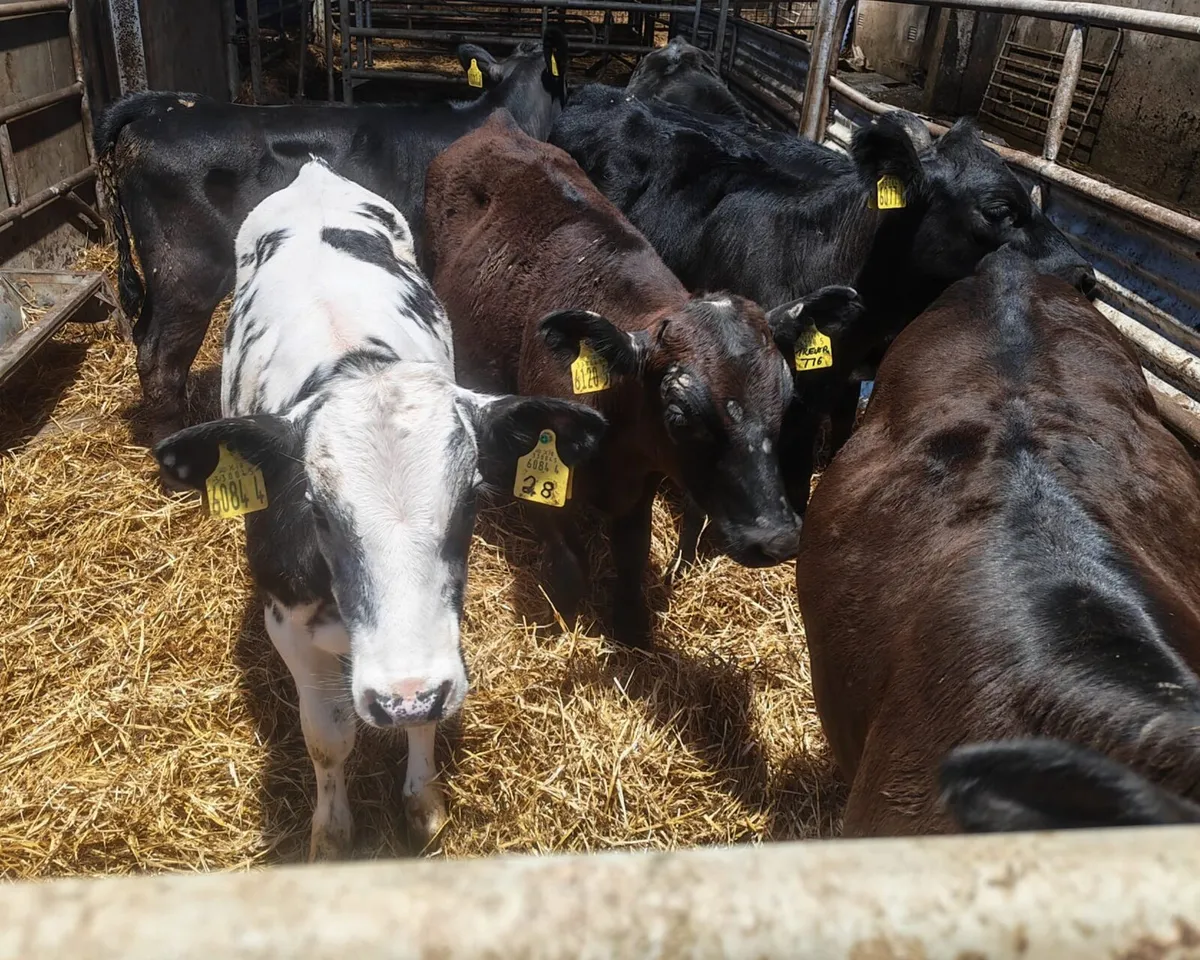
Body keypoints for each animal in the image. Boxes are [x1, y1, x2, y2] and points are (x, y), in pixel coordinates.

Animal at [152, 160, 606, 859]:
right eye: (316, 511)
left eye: (471, 499)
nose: (404, 696)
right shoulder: (287, 624)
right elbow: (328, 738)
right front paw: (331, 832)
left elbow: (427, 724)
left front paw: (423, 799)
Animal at [425, 113, 860, 647]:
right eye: (679, 415)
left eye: (784, 398)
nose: (775, 537)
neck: (615, 439)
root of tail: (498, 124)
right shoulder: (543, 479)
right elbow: (569, 565)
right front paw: (565, 619)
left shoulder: (641, 489)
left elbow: (632, 557)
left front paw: (633, 628)